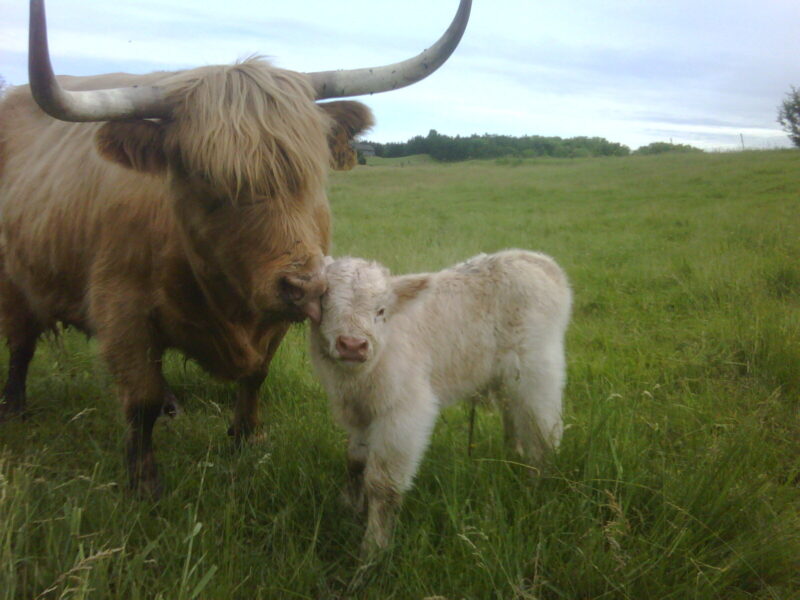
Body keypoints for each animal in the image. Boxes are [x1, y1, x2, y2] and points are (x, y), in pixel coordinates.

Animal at [0, 0, 472, 497]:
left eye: (313, 170)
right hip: (13, 278)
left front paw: (247, 436)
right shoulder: (123, 312)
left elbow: (256, 375)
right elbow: (140, 399)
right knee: (21, 343)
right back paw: (14, 408)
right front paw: (144, 484)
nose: (304, 286)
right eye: (206, 179)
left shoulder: (277, 316)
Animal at [308, 251, 572, 555]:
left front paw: (374, 547)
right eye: (325, 303)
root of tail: (537, 260)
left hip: (537, 369)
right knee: (514, 414)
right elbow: (355, 462)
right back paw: (513, 453)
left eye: (381, 311)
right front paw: (349, 507)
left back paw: (537, 485)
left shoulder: (405, 411)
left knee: (543, 430)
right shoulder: (360, 411)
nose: (352, 345)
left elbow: (382, 484)